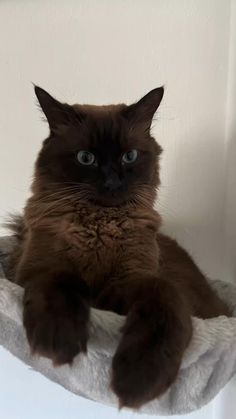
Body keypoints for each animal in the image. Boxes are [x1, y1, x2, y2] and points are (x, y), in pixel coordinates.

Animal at [6, 85, 230, 410]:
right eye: (86, 158)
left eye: (129, 156)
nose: (112, 182)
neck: (100, 228)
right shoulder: (39, 269)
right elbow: (62, 280)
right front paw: (58, 341)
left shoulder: (131, 281)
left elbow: (162, 303)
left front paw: (140, 381)